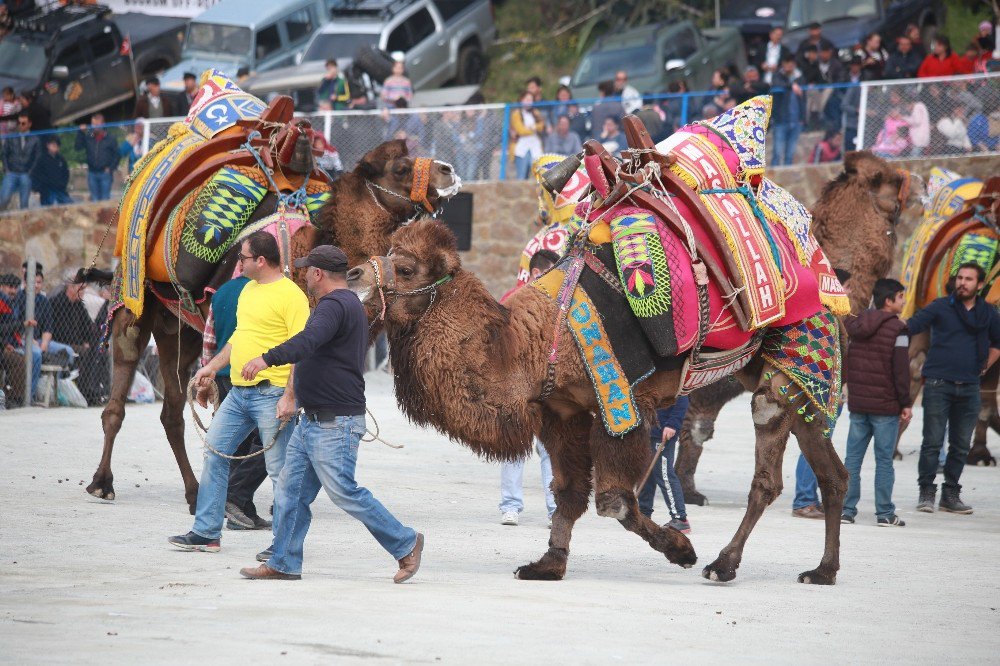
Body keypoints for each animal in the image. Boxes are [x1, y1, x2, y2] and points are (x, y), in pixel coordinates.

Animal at [87, 136, 460, 508]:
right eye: (400, 167)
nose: (448, 170)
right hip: (133, 304)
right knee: (118, 397)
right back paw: (102, 483)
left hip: (179, 329)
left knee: (173, 411)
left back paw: (193, 492)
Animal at [348, 220, 848, 584]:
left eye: (405, 267)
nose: (353, 273)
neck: (532, 343)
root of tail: (828, 288)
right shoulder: (560, 412)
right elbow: (568, 492)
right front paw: (548, 565)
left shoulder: (624, 404)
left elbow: (614, 501)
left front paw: (682, 550)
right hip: (784, 376)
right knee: (831, 472)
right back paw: (822, 570)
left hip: (791, 360)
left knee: (767, 464)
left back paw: (723, 564)